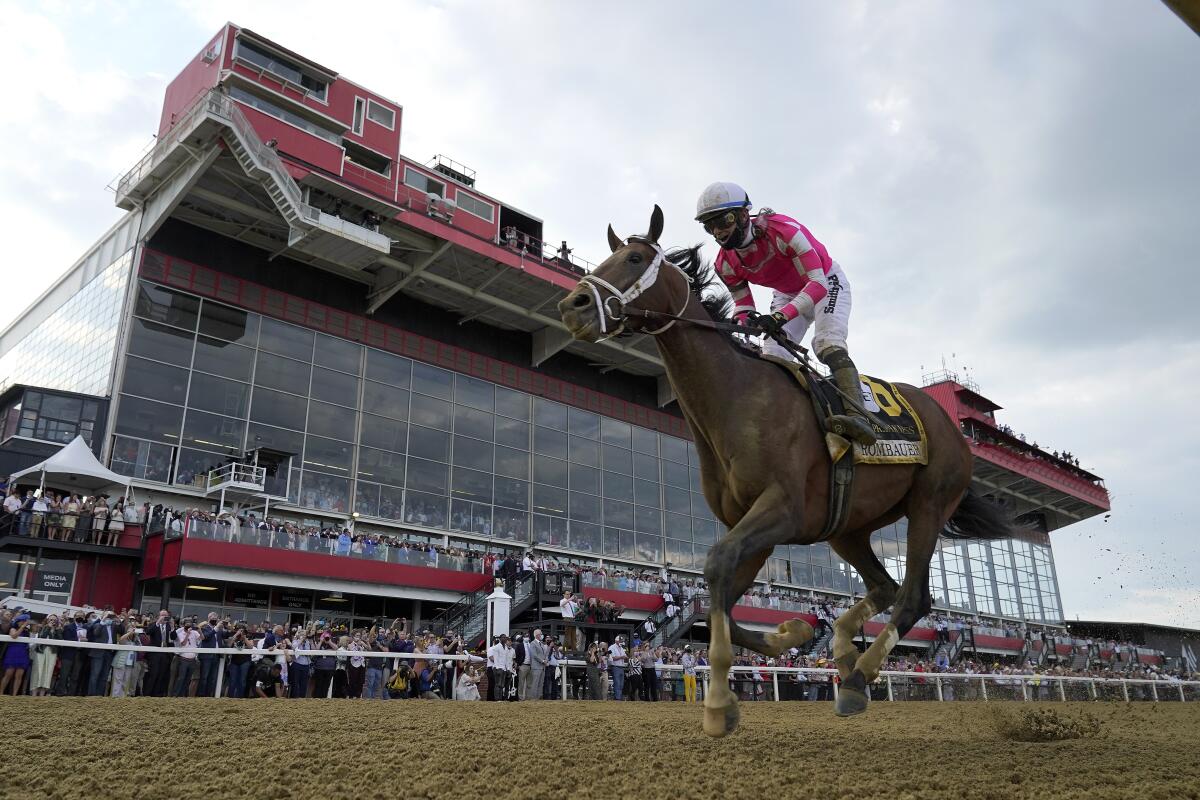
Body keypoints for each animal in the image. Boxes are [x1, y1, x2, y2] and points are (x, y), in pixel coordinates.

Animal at [556, 208, 1008, 738]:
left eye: (633, 258)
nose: (573, 305)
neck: (736, 397)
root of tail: (952, 429)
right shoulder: (753, 526)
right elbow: (717, 598)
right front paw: (791, 633)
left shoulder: (782, 510)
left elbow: (715, 568)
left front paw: (718, 703)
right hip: (848, 528)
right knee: (885, 587)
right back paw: (843, 651)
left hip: (929, 504)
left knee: (913, 597)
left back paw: (858, 678)